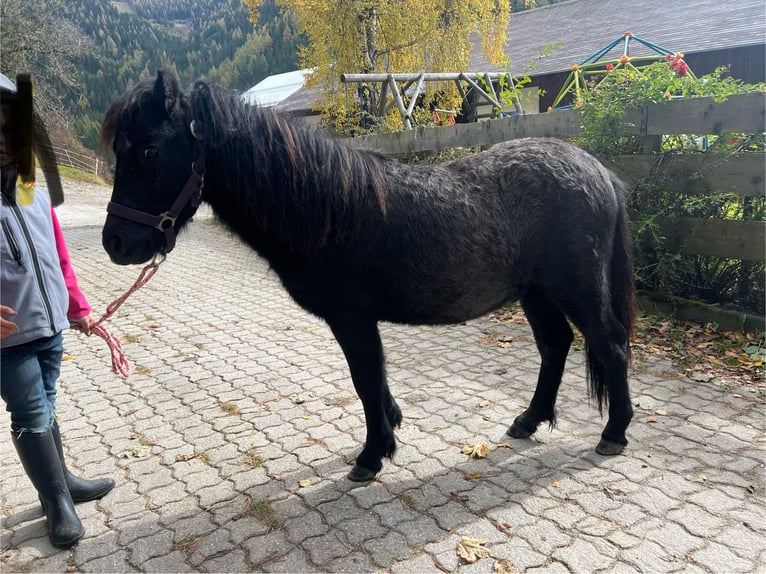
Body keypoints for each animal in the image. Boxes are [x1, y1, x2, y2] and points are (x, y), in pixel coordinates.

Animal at [103, 72, 640, 484]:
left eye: (149, 151)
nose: (116, 243)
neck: (327, 208)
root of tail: (599, 172)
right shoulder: (359, 321)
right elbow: (376, 382)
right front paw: (391, 430)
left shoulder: (352, 317)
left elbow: (364, 381)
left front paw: (371, 455)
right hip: (537, 292)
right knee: (555, 345)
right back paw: (529, 421)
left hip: (577, 289)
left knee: (610, 345)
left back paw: (613, 433)